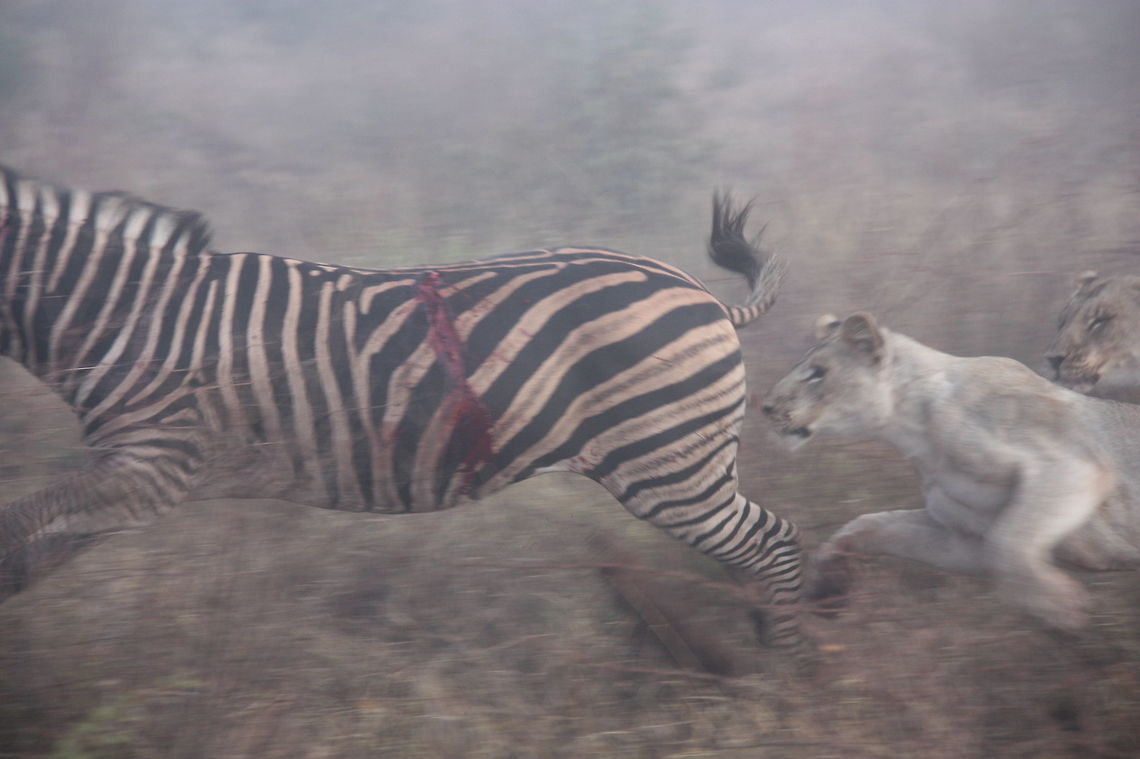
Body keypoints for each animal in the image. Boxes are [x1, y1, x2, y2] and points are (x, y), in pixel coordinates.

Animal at [0, 165, 803, 646]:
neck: (123, 311)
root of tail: (702, 294)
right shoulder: (130, 480)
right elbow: (27, 556)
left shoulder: (152, 464)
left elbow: (14, 532)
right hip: (686, 463)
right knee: (751, 552)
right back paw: (745, 653)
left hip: (667, 463)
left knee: (774, 542)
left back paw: (781, 674)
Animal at [762, 313, 1140, 631]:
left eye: (818, 373)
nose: (765, 407)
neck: (913, 430)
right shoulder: (964, 541)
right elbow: (869, 525)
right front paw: (827, 586)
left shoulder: (1069, 464)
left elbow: (1010, 544)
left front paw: (1060, 606)